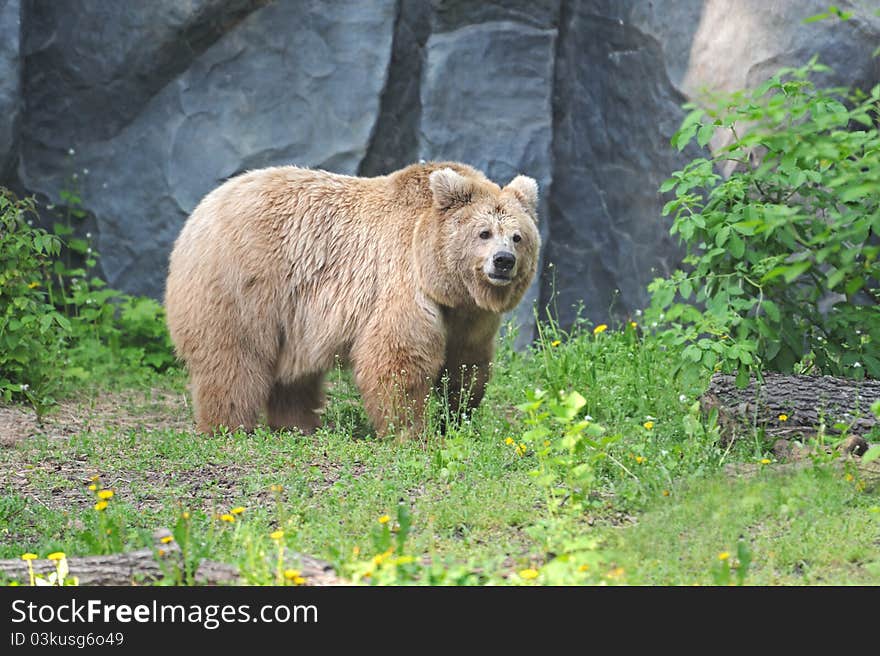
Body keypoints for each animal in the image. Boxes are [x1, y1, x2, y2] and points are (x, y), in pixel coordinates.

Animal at [162, 160, 540, 436]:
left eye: (518, 236)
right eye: (484, 232)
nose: (503, 261)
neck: (440, 276)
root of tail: (203, 208)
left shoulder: (468, 315)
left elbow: (467, 364)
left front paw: (458, 417)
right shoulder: (401, 283)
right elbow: (397, 358)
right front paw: (412, 430)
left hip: (293, 312)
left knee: (294, 374)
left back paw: (298, 425)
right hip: (242, 283)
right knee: (233, 358)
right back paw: (228, 426)